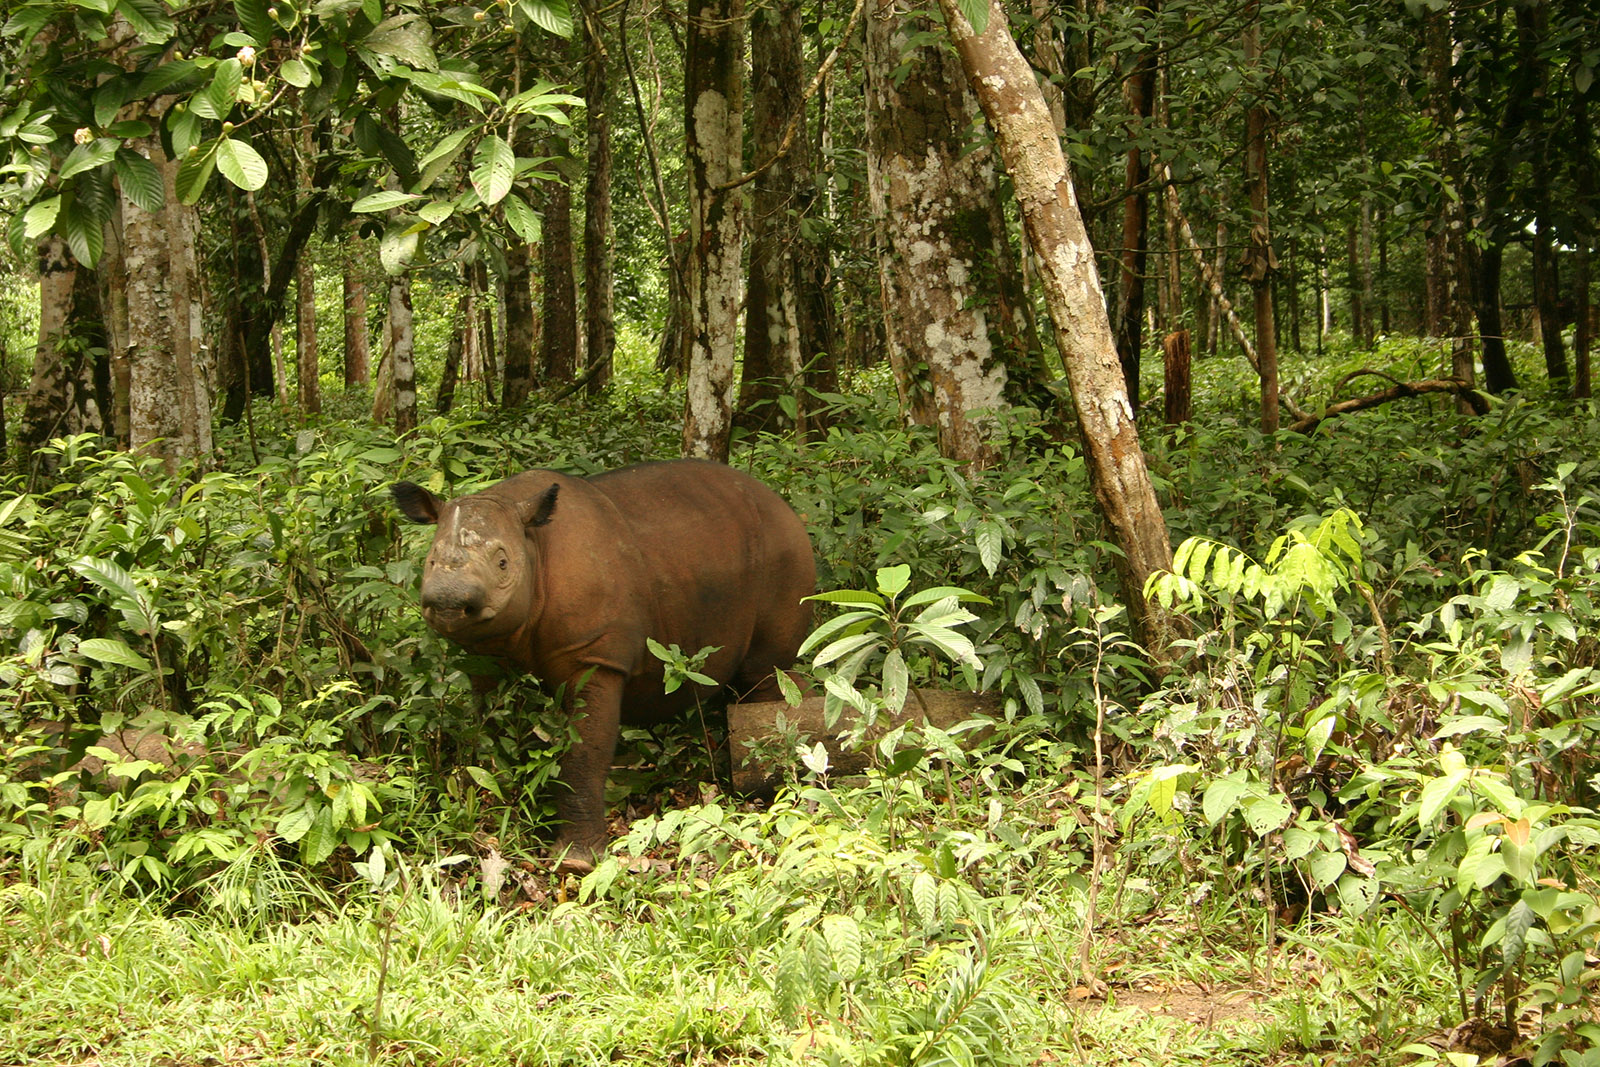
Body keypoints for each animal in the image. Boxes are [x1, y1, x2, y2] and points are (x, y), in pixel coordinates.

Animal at [392, 460, 815, 871]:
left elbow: (584, 753)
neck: (532, 544)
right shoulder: (486, 657)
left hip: (784, 551)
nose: (448, 601)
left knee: (764, 673)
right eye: (430, 560)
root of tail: (782, 504)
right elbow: (488, 735)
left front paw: (575, 862)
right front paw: (491, 811)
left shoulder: (594, 655)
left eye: (502, 563)